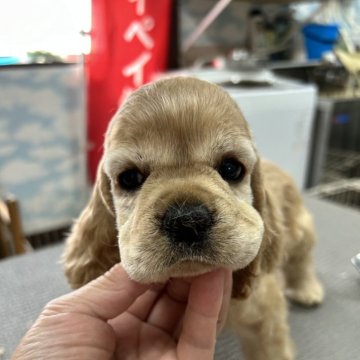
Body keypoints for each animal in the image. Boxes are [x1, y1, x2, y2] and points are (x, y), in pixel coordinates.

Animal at [62, 76, 324, 360]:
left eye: (231, 168)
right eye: (129, 178)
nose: (187, 221)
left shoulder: (265, 316)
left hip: (300, 228)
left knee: (302, 258)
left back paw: (308, 289)